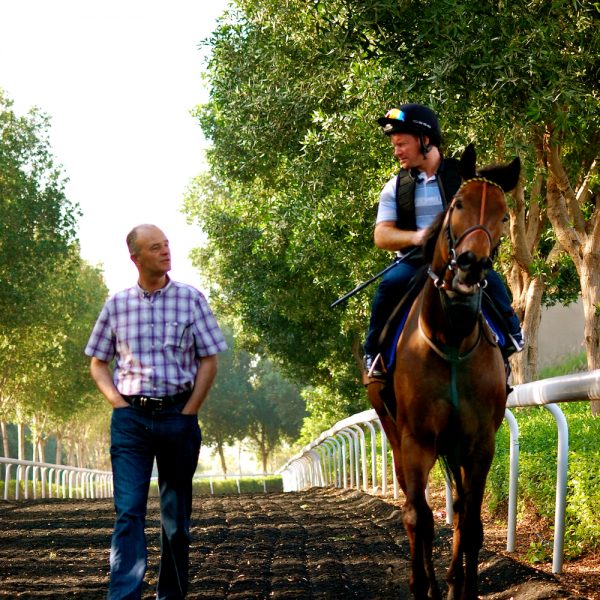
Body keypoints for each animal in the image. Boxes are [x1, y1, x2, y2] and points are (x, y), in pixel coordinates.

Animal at [368, 146, 516, 600]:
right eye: (458, 204)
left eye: (505, 215)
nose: (470, 265)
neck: (450, 338)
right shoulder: (416, 439)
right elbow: (419, 516)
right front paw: (422, 586)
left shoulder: (480, 442)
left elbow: (470, 522)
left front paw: (464, 588)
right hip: (393, 430)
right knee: (415, 509)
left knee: (460, 509)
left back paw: (450, 580)